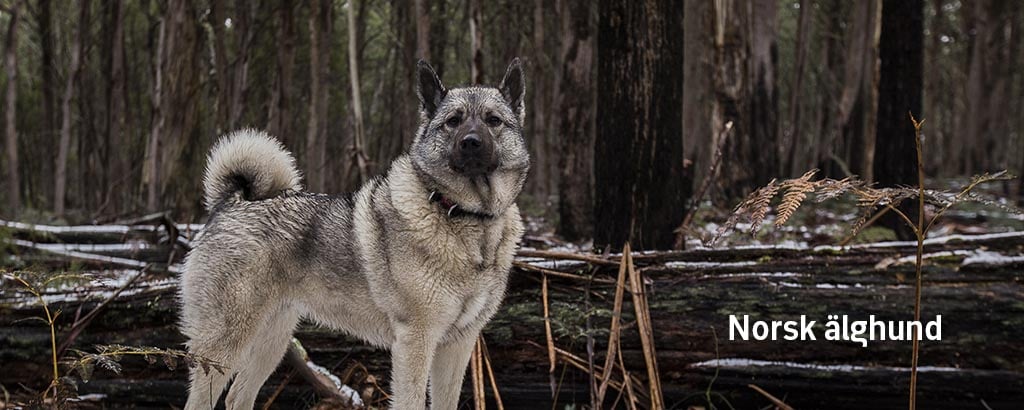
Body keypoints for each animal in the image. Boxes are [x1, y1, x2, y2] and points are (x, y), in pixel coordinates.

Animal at [184, 58, 532, 410]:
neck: (464, 216)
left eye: (493, 120)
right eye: (453, 121)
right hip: (225, 345)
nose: (471, 142)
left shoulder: (458, 345)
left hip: (273, 340)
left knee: (238, 396)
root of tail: (231, 203)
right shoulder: (416, 340)